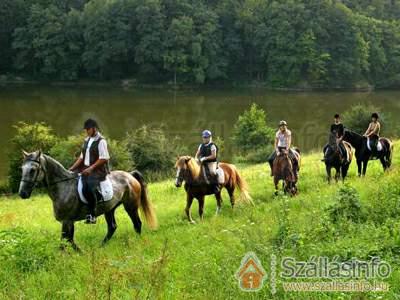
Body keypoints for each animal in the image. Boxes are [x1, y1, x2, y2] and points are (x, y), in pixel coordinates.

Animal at [18, 150, 157, 251]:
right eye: (22, 169)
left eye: (33, 170)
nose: (22, 193)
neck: (63, 187)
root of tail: (130, 175)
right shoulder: (68, 221)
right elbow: (69, 240)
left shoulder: (67, 221)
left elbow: (65, 241)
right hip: (109, 209)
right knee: (112, 227)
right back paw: (101, 247)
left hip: (130, 206)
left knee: (137, 224)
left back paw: (138, 242)